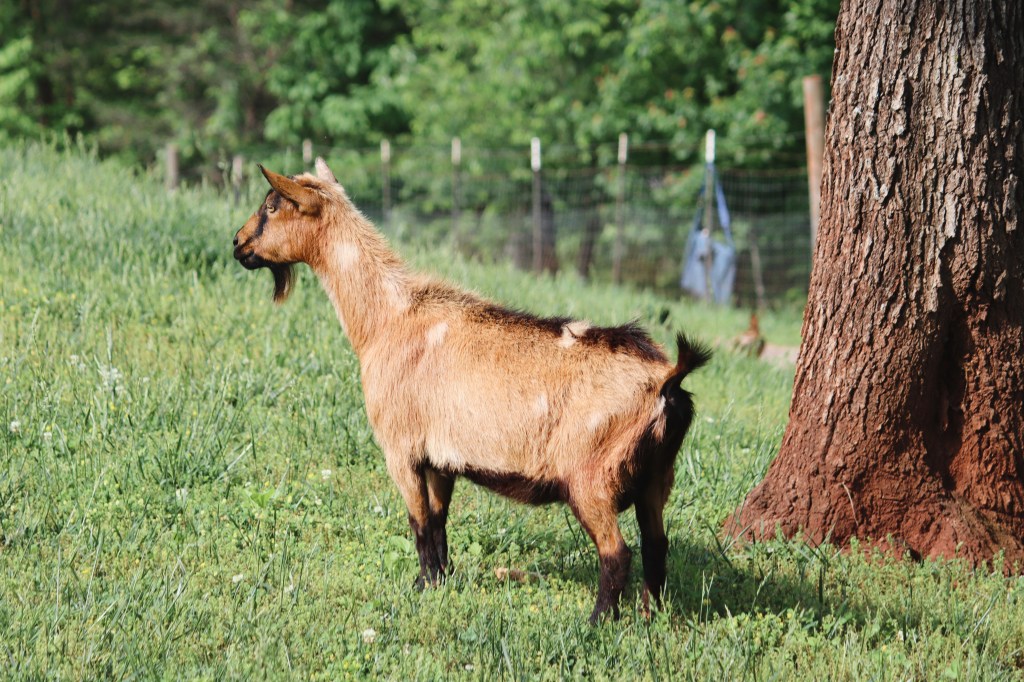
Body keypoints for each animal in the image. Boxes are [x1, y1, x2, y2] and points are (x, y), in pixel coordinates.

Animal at [232, 159, 711, 622]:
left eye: (272, 205)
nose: (237, 244)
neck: (388, 319)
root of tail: (666, 378)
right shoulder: (440, 458)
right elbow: (439, 522)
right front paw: (439, 581)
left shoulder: (400, 448)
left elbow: (419, 523)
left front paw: (419, 587)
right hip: (658, 475)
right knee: (656, 546)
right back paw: (651, 618)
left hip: (591, 477)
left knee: (617, 552)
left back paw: (596, 623)